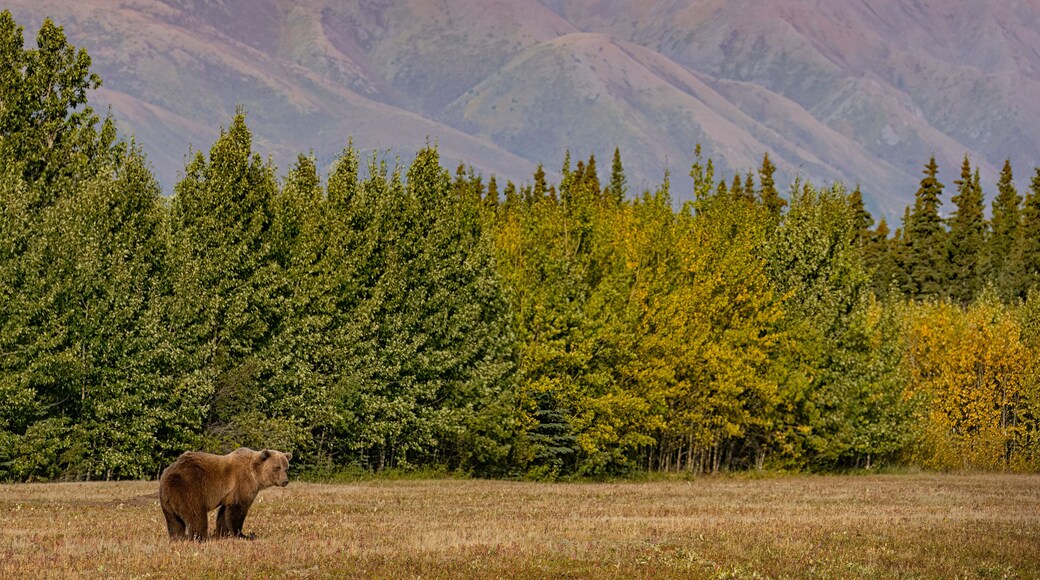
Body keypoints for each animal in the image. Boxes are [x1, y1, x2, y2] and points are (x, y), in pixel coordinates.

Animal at [158, 447, 292, 541]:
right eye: (277, 467)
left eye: (286, 468)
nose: (285, 481)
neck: (255, 475)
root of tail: (169, 476)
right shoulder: (242, 484)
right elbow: (237, 511)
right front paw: (243, 535)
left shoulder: (229, 495)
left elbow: (224, 514)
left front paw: (222, 533)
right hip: (190, 489)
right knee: (196, 515)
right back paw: (200, 538)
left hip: (167, 500)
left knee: (174, 521)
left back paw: (177, 538)